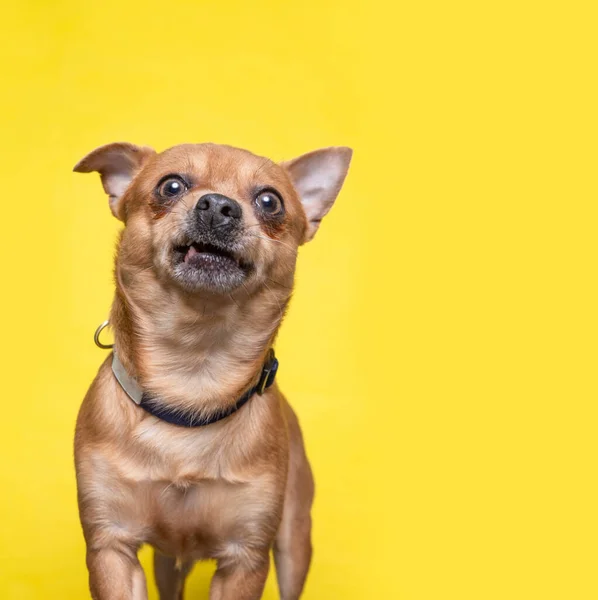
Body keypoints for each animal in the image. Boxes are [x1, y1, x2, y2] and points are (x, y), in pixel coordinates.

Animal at [72, 142, 352, 600]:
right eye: (170, 186)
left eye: (270, 201)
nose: (219, 206)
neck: (193, 372)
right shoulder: (112, 548)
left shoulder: (245, 560)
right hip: (167, 563)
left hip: (294, 542)